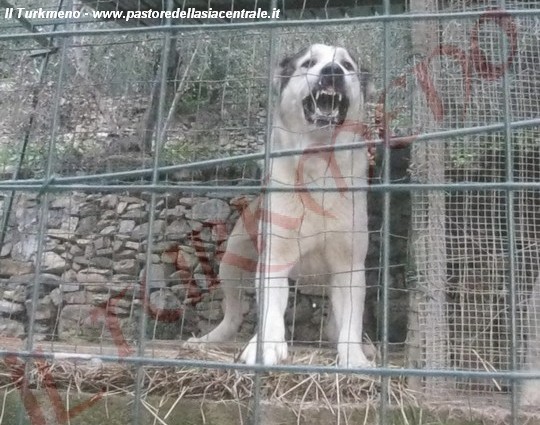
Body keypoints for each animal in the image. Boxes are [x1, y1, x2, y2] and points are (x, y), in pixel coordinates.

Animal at [191, 44, 376, 368]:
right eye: (309, 63)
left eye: (347, 65)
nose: (332, 71)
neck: (318, 164)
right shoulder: (274, 257)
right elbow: (271, 311)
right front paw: (266, 347)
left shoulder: (349, 265)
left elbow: (351, 320)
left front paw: (354, 357)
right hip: (232, 261)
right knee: (233, 312)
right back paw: (210, 339)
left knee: (336, 322)